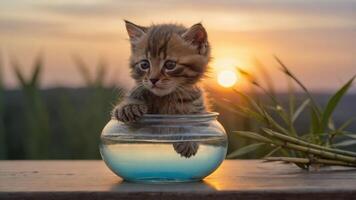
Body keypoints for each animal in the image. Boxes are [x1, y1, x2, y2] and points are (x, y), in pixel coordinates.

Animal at [112, 20, 210, 158]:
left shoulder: (200, 113)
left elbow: (193, 124)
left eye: (170, 65)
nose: (153, 79)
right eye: (144, 64)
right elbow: (134, 94)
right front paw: (128, 106)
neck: (165, 98)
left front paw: (188, 141)